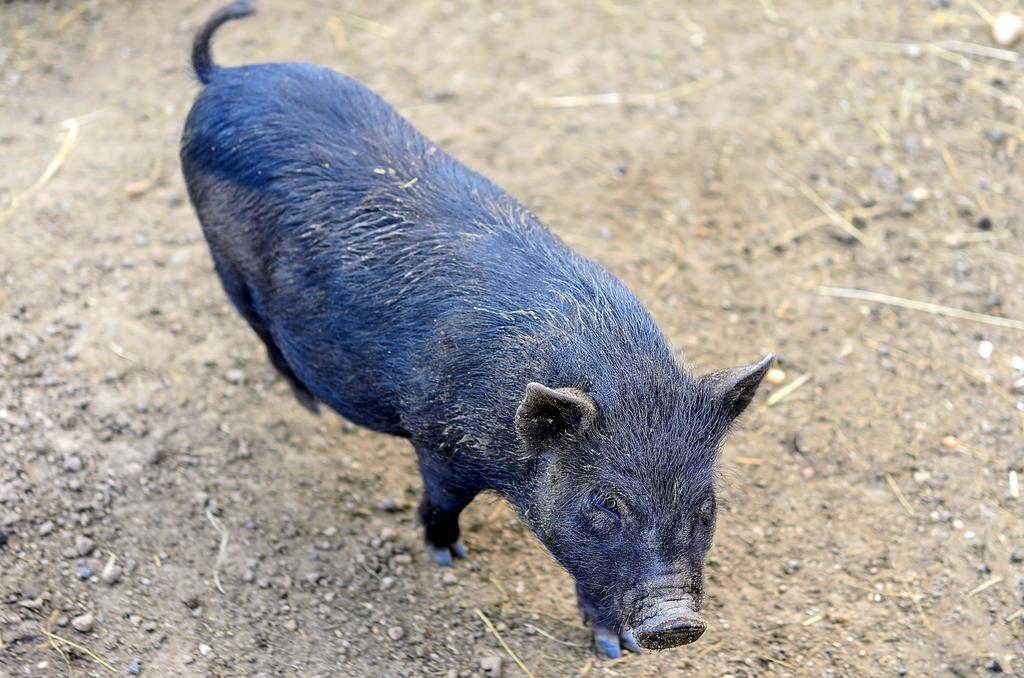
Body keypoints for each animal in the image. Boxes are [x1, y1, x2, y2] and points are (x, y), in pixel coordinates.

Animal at [180, 0, 770, 659]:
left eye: (705, 505)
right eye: (607, 502)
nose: (676, 624)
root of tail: (222, 77)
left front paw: (617, 650)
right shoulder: (437, 441)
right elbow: (443, 502)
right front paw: (446, 555)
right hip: (222, 258)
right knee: (262, 331)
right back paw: (307, 406)